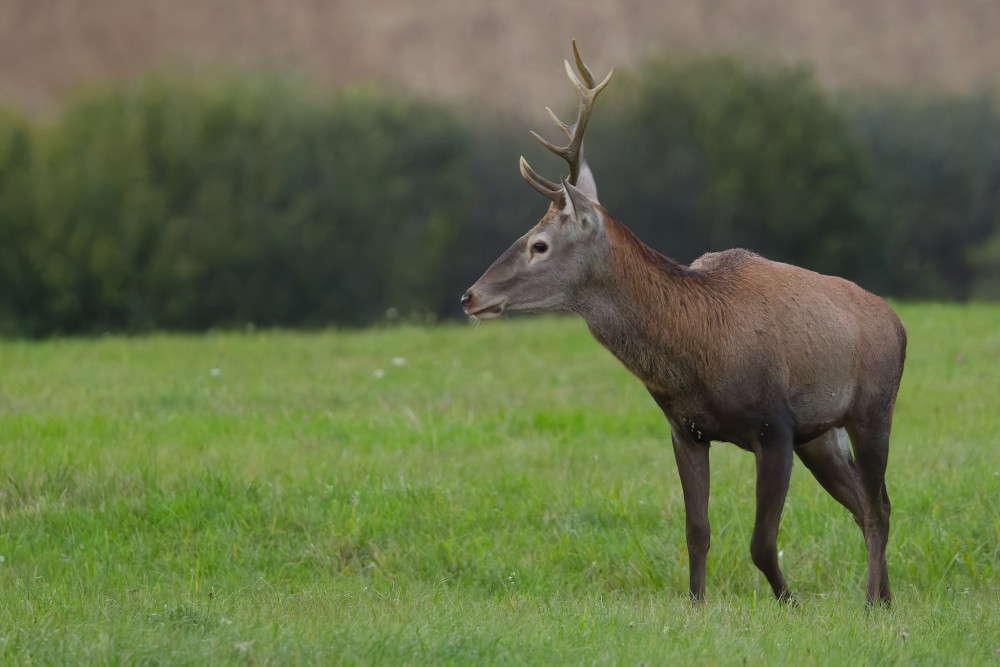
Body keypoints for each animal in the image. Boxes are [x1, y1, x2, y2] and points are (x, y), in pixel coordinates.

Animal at [460, 40, 908, 604]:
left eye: (538, 244)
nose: (470, 296)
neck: (698, 352)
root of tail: (898, 323)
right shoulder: (686, 430)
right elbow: (697, 531)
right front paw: (696, 606)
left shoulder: (775, 425)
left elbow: (762, 544)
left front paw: (791, 603)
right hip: (822, 434)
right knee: (865, 504)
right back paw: (884, 599)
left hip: (873, 408)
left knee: (879, 506)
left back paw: (872, 601)